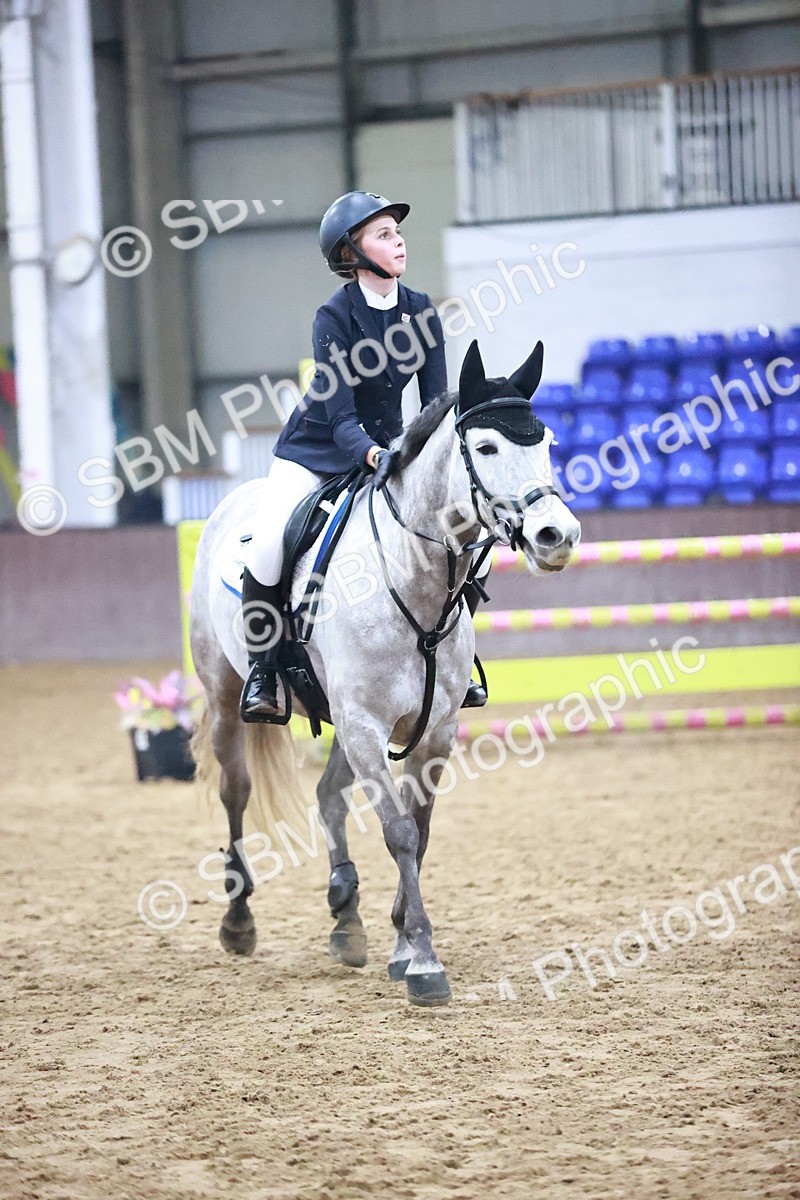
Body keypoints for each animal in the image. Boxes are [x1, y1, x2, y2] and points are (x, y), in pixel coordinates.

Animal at [189, 339, 581, 1007]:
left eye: (547, 442)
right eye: (486, 447)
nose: (557, 535)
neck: (410, 575)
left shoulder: (433, 729)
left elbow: (419, 833)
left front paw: (400, 941)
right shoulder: (366, 725)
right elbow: (398, 832)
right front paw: (422, 961)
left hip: (337, 718)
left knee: (328, 796)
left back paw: (346, 916)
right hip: (227, 695)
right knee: (235, 790)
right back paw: (238, 922)